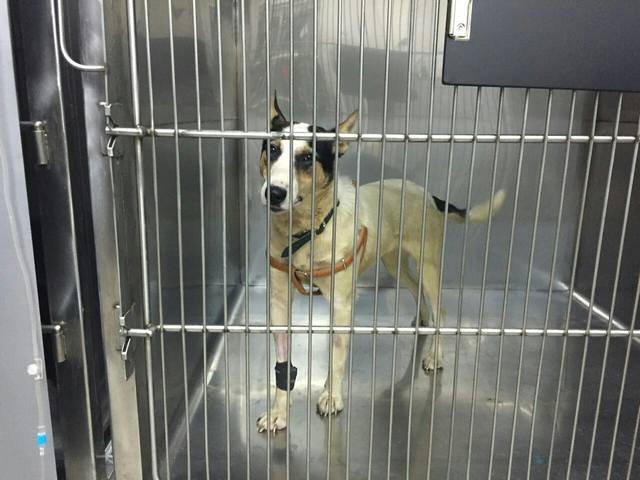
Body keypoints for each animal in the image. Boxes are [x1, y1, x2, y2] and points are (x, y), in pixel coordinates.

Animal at [256, 94, 505, 432]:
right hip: (394, 263)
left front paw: (332, 396)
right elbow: (282, 363)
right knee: (415, 291)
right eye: (272, 149)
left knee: (439, 308)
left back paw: (435, 354)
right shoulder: (279, 302)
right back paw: (421, 318)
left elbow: (337, 354)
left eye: (307, 158)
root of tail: (429, 195)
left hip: (428, 264)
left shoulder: (342, 305)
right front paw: (279, 412)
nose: (275, 193)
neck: (306, 231)